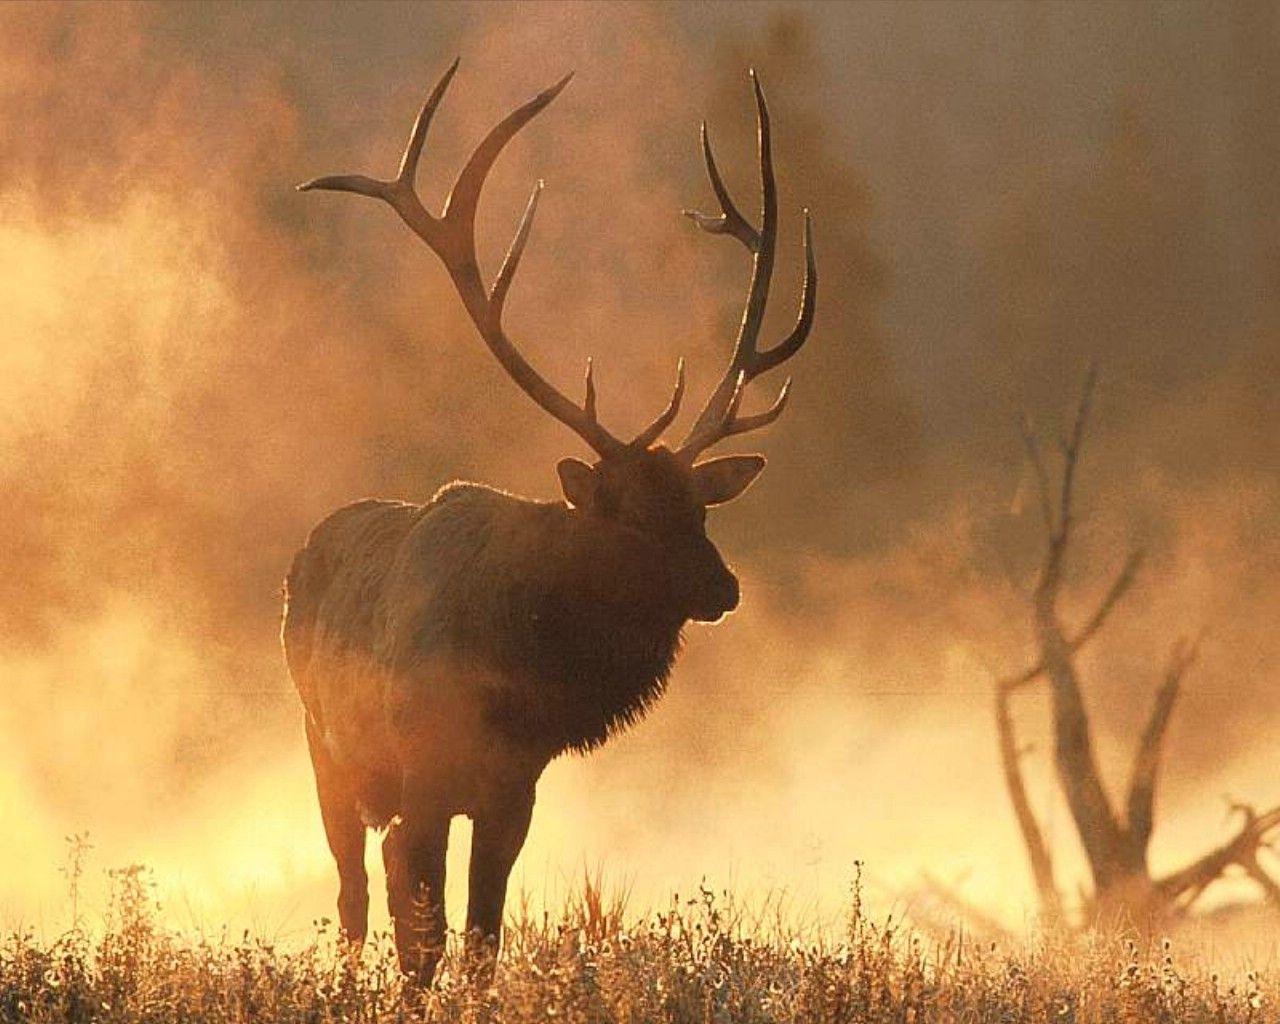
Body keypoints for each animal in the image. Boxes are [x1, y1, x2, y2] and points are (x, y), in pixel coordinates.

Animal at [282, 59, 816, 984]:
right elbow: (420, 937)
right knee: (351, 896)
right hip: (324, 747)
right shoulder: (424, 777)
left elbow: (484, 936)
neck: (517, 669)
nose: (726, 588)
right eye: (628, 515)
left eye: (700, 507)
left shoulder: (514, 790)